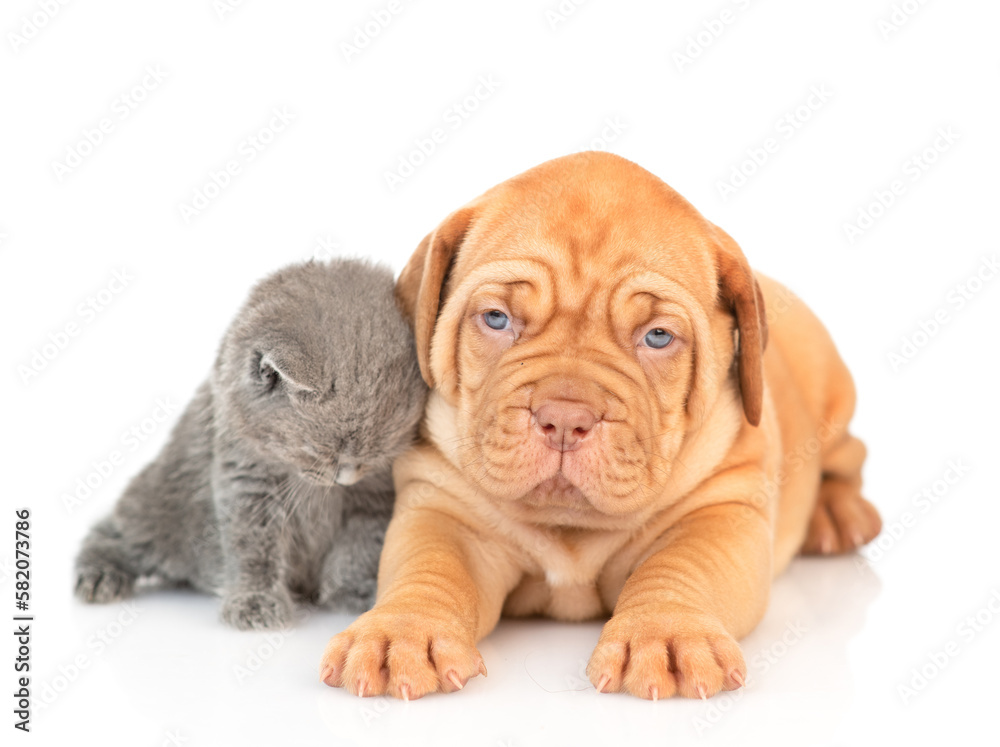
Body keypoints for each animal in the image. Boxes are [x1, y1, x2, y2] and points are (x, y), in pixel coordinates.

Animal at [73, 260, 426, 628]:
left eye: (378, 453)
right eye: (317, 452)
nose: (347, 477)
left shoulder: (376, 495)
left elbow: (361, 546)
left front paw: (355, 594)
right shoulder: (247, 476)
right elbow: (253, 546)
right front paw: (254, 602)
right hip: (158, 505)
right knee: (116, 530)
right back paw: (99, 575)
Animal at [320, 152, 884, 700]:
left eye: (657, 337)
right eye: (497, 319)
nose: (566, 420)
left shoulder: (722, 510)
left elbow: (680, 566)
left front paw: (666, 632)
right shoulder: (442, 509)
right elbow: (430, 566)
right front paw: (401, 631)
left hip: (833, 395)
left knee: (848, 457)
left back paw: (837, 515)